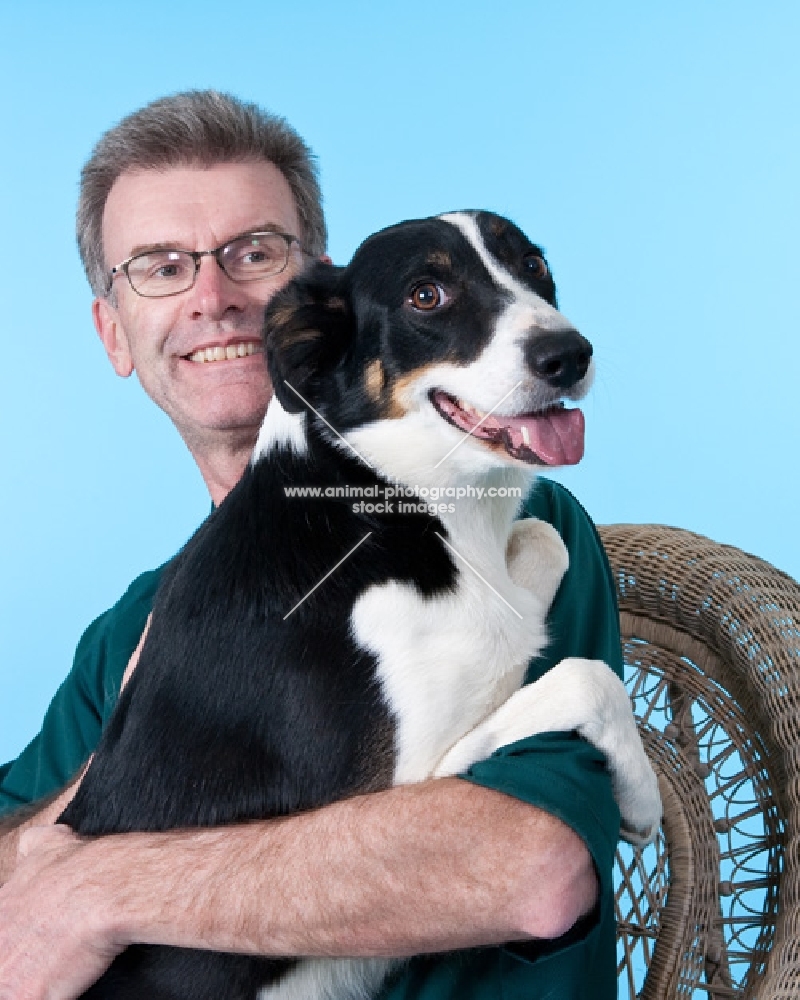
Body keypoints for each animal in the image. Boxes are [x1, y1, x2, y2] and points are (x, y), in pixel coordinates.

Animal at [61, 211, 664, 1000]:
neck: (381, 493)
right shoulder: (402, 786)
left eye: (533, 265)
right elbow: (586, 676)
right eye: (426, 294)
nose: (569, 355)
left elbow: (541, 544)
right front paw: (642, 797)